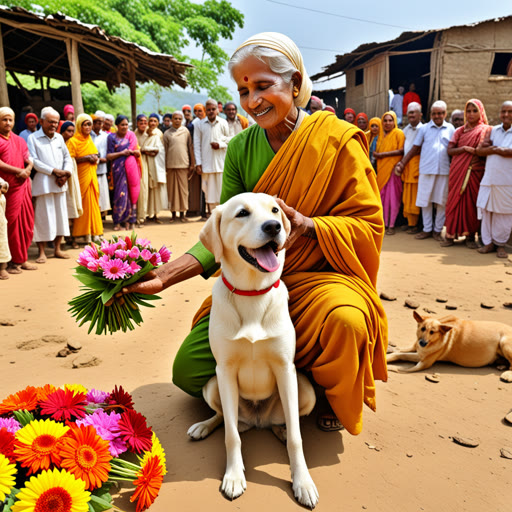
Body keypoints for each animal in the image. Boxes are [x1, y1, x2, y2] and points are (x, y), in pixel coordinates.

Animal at [187, 192, 316, 508]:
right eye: (242, 213)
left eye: (275, 210)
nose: (273, 227)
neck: (252, 294)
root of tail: (258, 420)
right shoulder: (224, 370)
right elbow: (231, 436)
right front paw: (234, 476)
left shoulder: (285, 368)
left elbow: (297, 437)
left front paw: (303, 481)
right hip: (212, 385)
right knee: (228, 419)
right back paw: (205, 426)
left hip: (305, 390)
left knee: (286, 422)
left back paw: (280, 429)